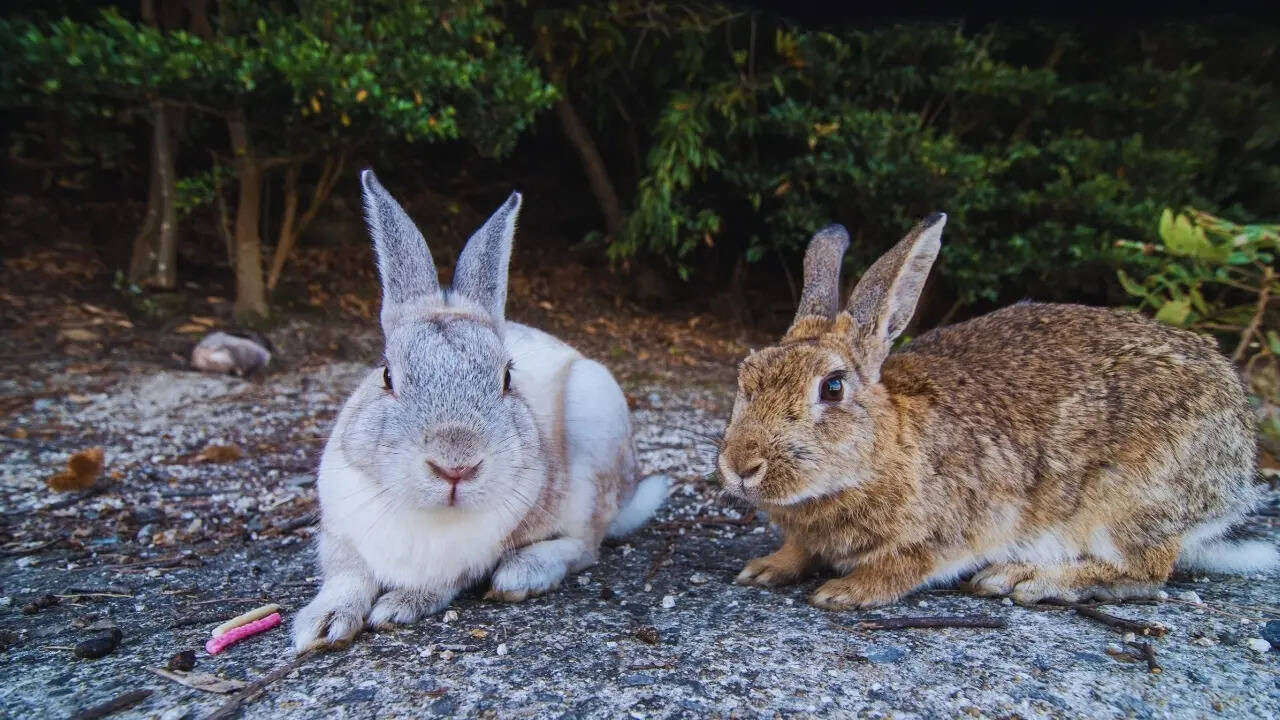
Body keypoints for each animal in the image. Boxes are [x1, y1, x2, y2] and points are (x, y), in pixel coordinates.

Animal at [293, 171, 668, 651]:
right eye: (387, 375)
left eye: (507, 378)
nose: (456, 465)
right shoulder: (341, 539)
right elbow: (347, 577)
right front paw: (321, 626)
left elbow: (440, 584)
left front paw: (397, 606)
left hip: (594, 431)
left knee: (587, 545)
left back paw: (523, 574)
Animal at [718, 213, 1277, 610]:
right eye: (746, 377)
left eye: (832, 388)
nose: (741, 466)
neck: (884, 447)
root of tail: (1237, 475)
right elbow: (799, 550)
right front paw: (765, 568)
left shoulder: (951, 530)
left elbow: (904, 566)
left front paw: (846, 592)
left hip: (1128, 500)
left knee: (1147, 573)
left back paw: (1024, 578)